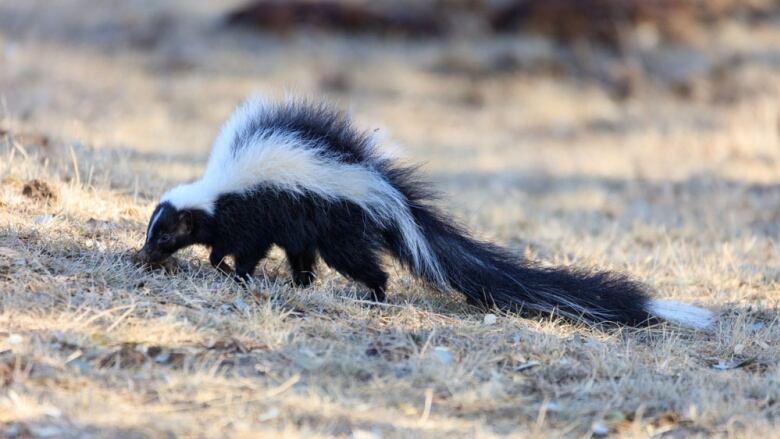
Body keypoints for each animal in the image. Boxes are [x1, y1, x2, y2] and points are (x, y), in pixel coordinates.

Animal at [139, 97, 712, 330]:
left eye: (163, 234)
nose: (142, 254)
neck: (214, 190)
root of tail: (378, 184)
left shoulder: (251, 209)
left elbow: (242, 246)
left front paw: (228, 270)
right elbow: (234, 244)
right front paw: (224, 267)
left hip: (339, 223)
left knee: (362, 264)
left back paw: (374, 295)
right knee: (307, 255)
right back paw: (303, 284)